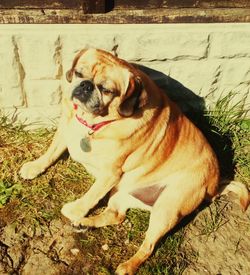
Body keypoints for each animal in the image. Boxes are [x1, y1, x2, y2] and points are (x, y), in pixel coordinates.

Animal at [20, 48, 250, 274]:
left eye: (106, 90)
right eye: (78, 73)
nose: (85, 85)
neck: (95, 123)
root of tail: (215, 183)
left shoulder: (110, 174)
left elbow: (91, 195)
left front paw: (75, 209)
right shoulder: (65, 130)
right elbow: (51, 152)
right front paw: (34, 167)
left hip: (166, 209)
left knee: (148, 246)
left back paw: (127, 265)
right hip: (121, 194)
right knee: (116, 216)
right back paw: (83, 224)